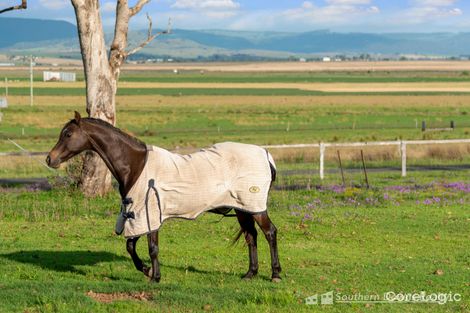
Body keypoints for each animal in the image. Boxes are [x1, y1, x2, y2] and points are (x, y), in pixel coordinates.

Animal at [46, 111, 282, 282]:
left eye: (68, 134)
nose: (50, 159)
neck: (135, 165)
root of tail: (265, 155)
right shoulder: (137, 214)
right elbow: (130, 246)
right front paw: (147, 270)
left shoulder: (149, 213)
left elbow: (152, 248)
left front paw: (155, 276)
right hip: (243, 208)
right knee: (251, 236)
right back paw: (250, 273)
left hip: (255, 207)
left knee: (269, 232)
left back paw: (275, 274)